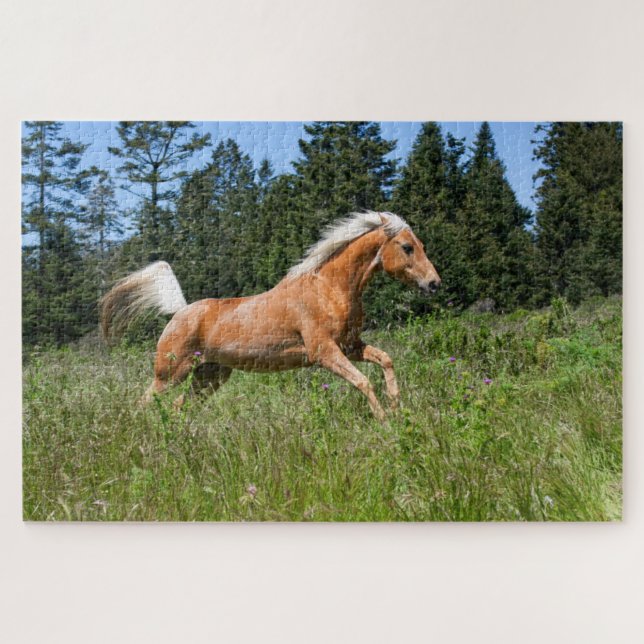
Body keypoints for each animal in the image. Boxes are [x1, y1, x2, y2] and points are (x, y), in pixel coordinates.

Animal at [99, 211, 441, 420]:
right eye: (407, 247)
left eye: (422, 244)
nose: (434, 284)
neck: (329, 288)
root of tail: (180, 310)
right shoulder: (324, 352)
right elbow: (363, 382)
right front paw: (384, 422)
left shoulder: (350, 346)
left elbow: (386, 360)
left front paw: (397, 408)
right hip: (170, 373)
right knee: (145, 404)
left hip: (210, 376)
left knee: (179, 406)